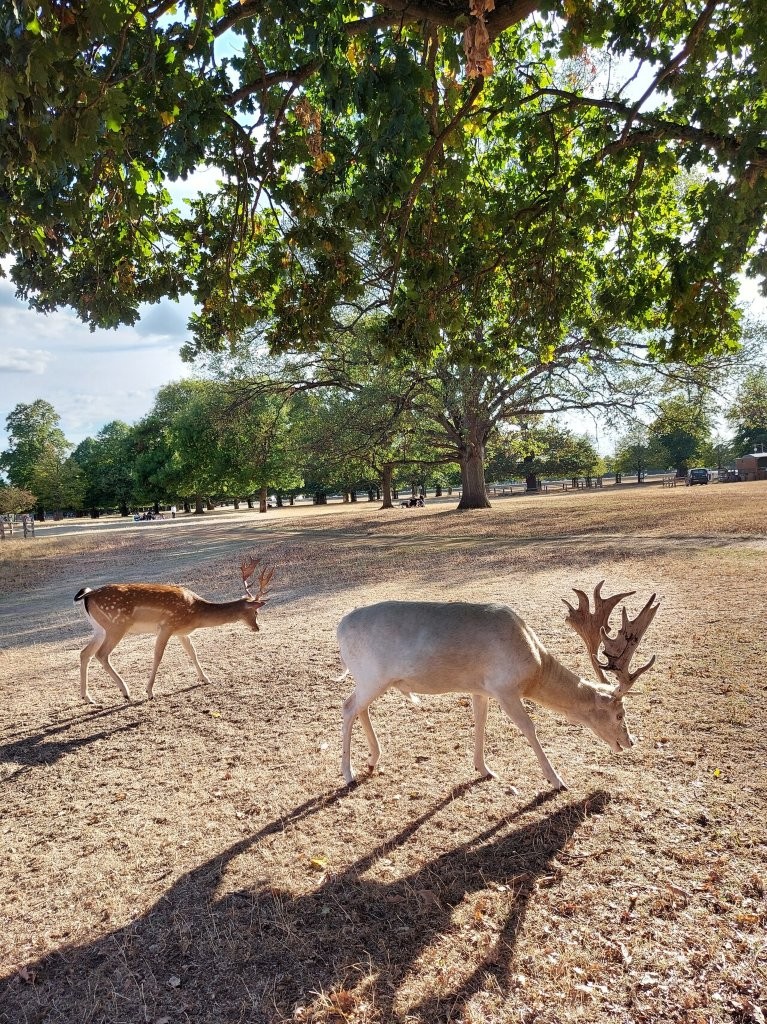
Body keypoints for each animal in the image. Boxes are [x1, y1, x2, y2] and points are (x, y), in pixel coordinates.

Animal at [74, 557, 274, 703]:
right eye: (256, 611)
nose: (257, 628)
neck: (196, 613)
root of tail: (87, 595)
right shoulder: (167, 626)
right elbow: (158, 656)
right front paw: (149, 692)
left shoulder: (181, 632)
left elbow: (192, 652)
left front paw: (206, 679)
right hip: (116, 625)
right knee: (101, 654)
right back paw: (125, 692)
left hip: (99, 629)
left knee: (85, 653)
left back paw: (87, 697)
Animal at [337, 582, 659, 791]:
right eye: (620, 714)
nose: (630, 742)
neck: (533, 668)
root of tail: (339, 626)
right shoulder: (505, 688)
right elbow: (529, 727)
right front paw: (557, 781)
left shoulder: (481, 688)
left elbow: (480, 721)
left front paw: (484, 769)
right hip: (372, 676)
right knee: (348, 706)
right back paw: (348, 773)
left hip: (372, 680)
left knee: (359, 707)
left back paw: (372, 760)